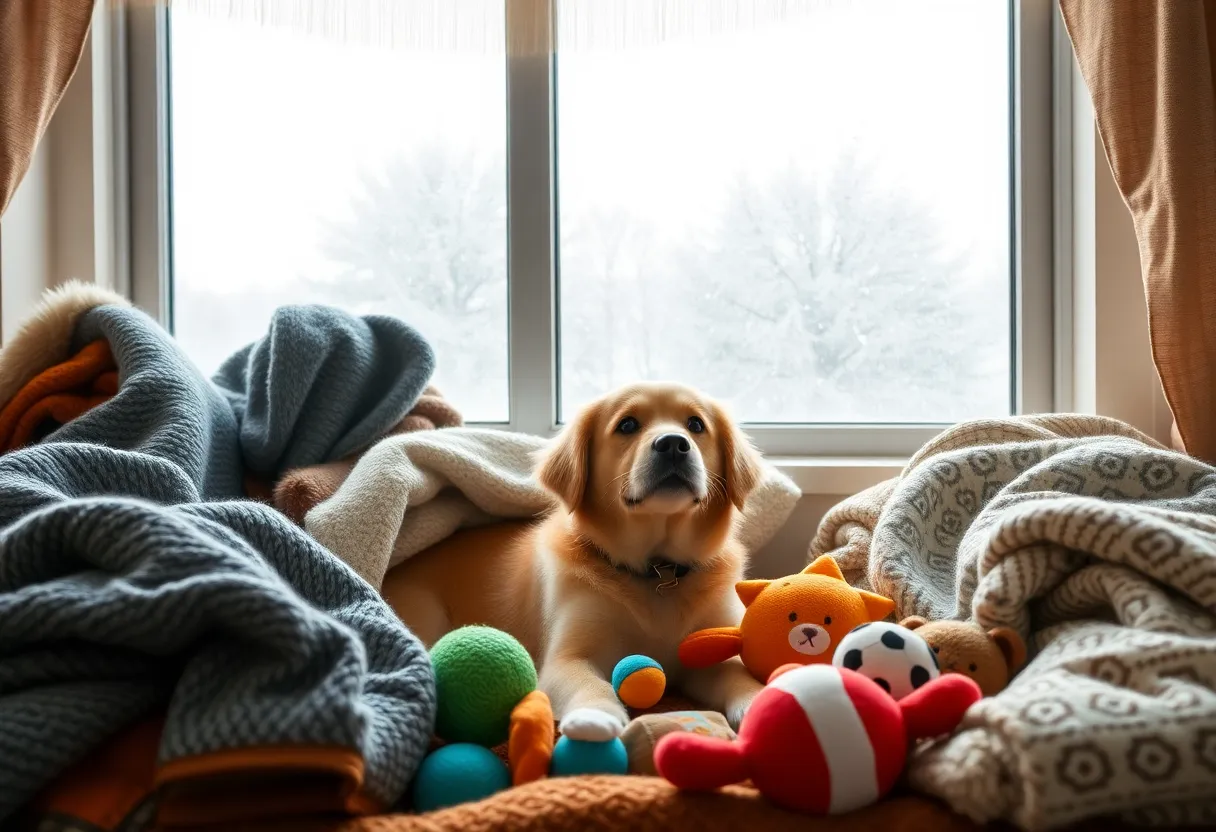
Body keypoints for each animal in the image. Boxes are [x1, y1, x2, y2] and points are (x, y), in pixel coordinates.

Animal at [379, 384, 763, 739]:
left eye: (696, 424)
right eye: (627, 425)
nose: (673, 444)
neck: (658, 572)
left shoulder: (710, 646)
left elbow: (738, 674)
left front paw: (760, 700)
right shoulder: (566, 658)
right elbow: (590, 684)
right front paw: (595, 716)